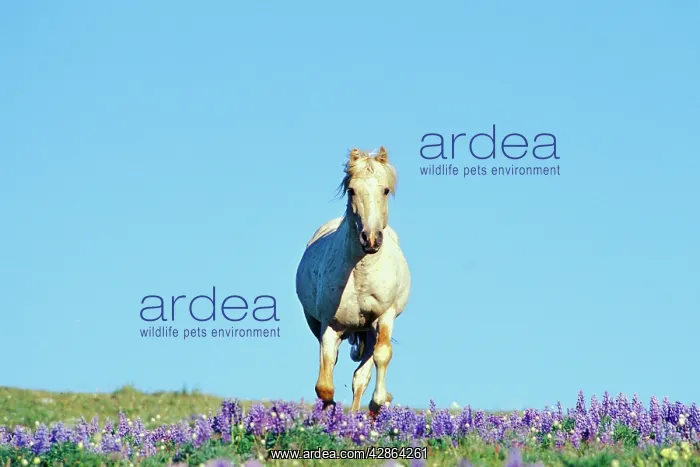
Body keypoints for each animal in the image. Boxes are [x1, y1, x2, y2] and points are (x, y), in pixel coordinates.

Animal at [295, 146, 411, 414]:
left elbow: (381, 356)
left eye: (385, 190)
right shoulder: (329, 326)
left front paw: (380, 401)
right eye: (352, 190)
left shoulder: (384, 317)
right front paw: (330, 414)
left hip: (369, 329)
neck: (361, 273)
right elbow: (325, 387)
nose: (370, 239)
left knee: (362, 375)